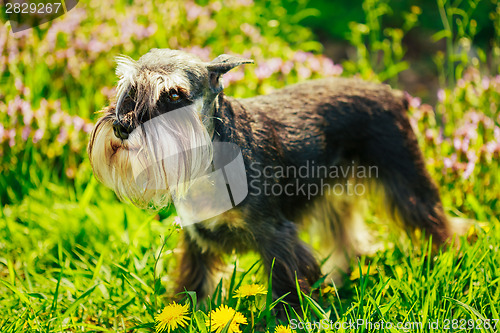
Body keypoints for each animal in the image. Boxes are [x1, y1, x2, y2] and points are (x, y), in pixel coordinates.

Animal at [89, 48, 454, 308]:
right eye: (128, 88)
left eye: (174, 95)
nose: (121, 126)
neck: (211, 157)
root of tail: (392, 93)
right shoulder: (197, 240)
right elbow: (194, 286)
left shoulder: (277, 238)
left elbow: (284, 290)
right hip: (333, 193)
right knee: (344, 235)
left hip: (405, 181)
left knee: (432, 219)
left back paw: (443, 261)